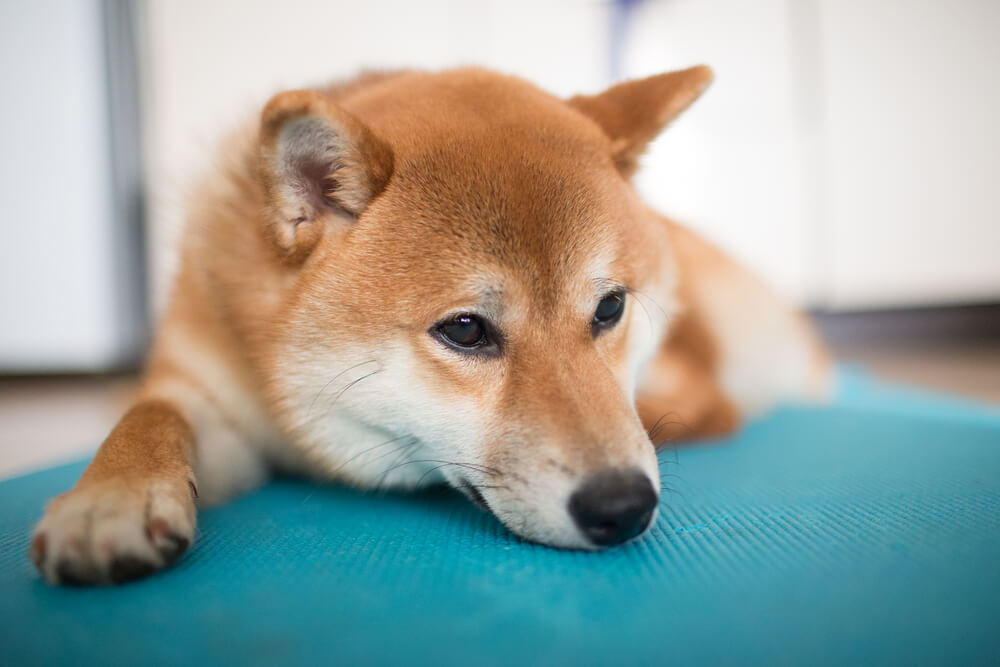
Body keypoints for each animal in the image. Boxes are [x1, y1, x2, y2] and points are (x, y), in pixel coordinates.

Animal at [29, 64, 828, 584]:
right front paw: (108, 498)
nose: (623, 505)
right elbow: (148, 417)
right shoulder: (208, 401)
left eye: (609, 308)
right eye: (466, 330)